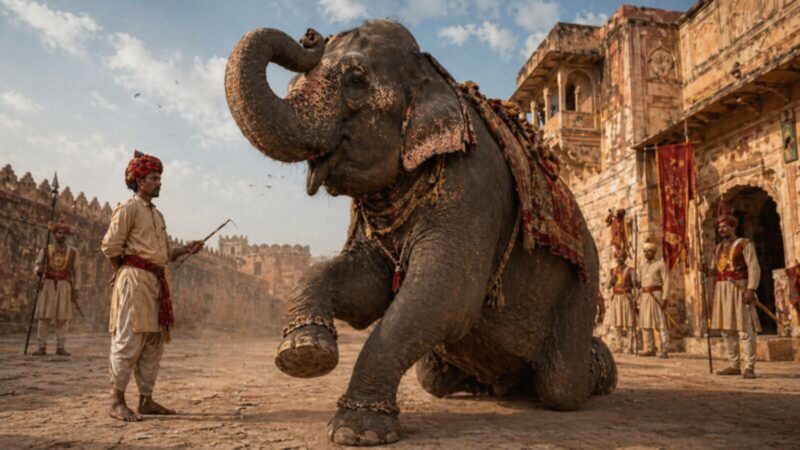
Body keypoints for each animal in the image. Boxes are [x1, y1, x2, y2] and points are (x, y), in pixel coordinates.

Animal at [225, 20, 617, 446]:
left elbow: (445, 297)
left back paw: (601, 371)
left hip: (583, 287)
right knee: (433, 377)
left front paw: (356, 430)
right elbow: (364, 288)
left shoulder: (471, 185)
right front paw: (304, 351)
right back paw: (486, 386)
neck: (432, 74)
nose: (310, 36)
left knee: (561, 385)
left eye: (355, 80)